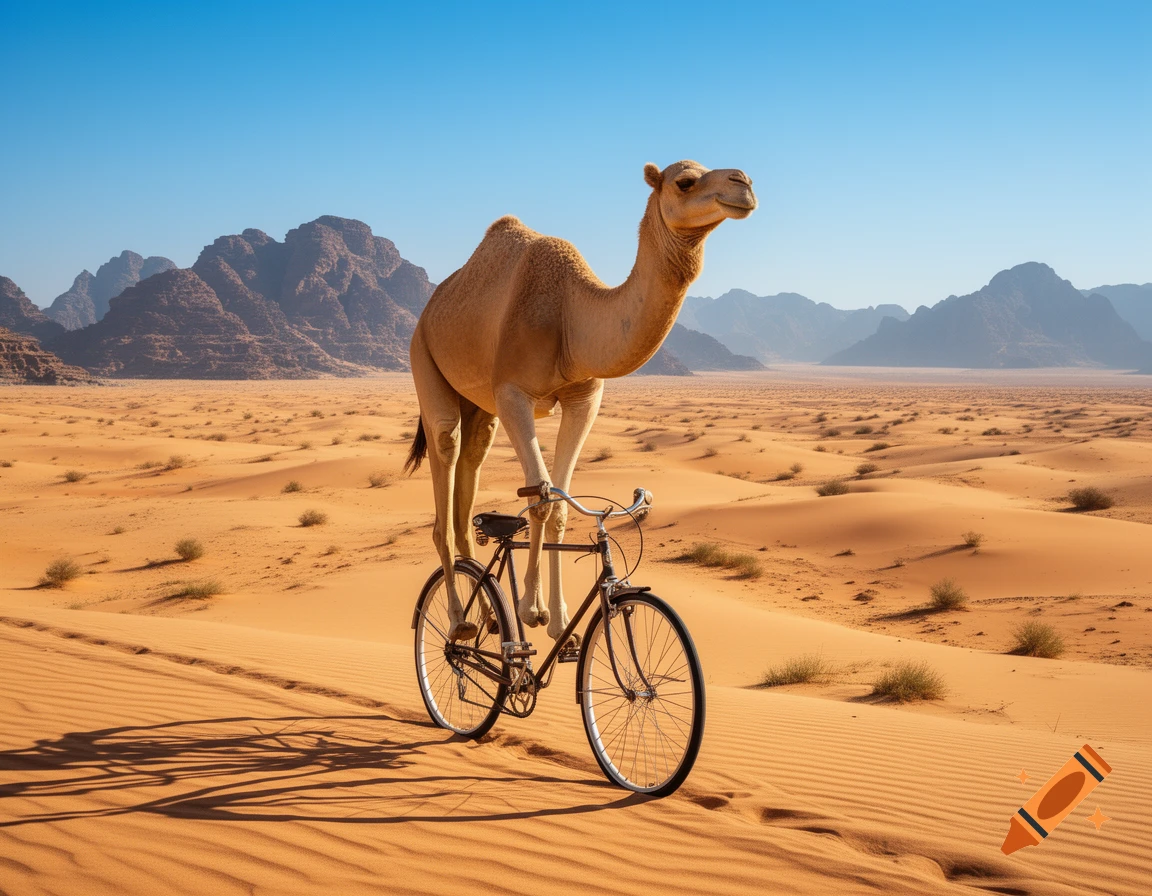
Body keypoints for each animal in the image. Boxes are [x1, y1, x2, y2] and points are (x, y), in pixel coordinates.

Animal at [405, 160, 756, 643]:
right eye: (685, 181)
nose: (743, 183)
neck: (571, 314)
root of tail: (429, 308)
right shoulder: (511, 391)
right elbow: (541, 497)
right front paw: (530, 609)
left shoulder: (585, 396)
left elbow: (560, 506)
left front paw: (556, 622)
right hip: (424, 357)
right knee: (446, 460)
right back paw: (460, 620)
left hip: (479, 406)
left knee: (468, 488)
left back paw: (490, 616)